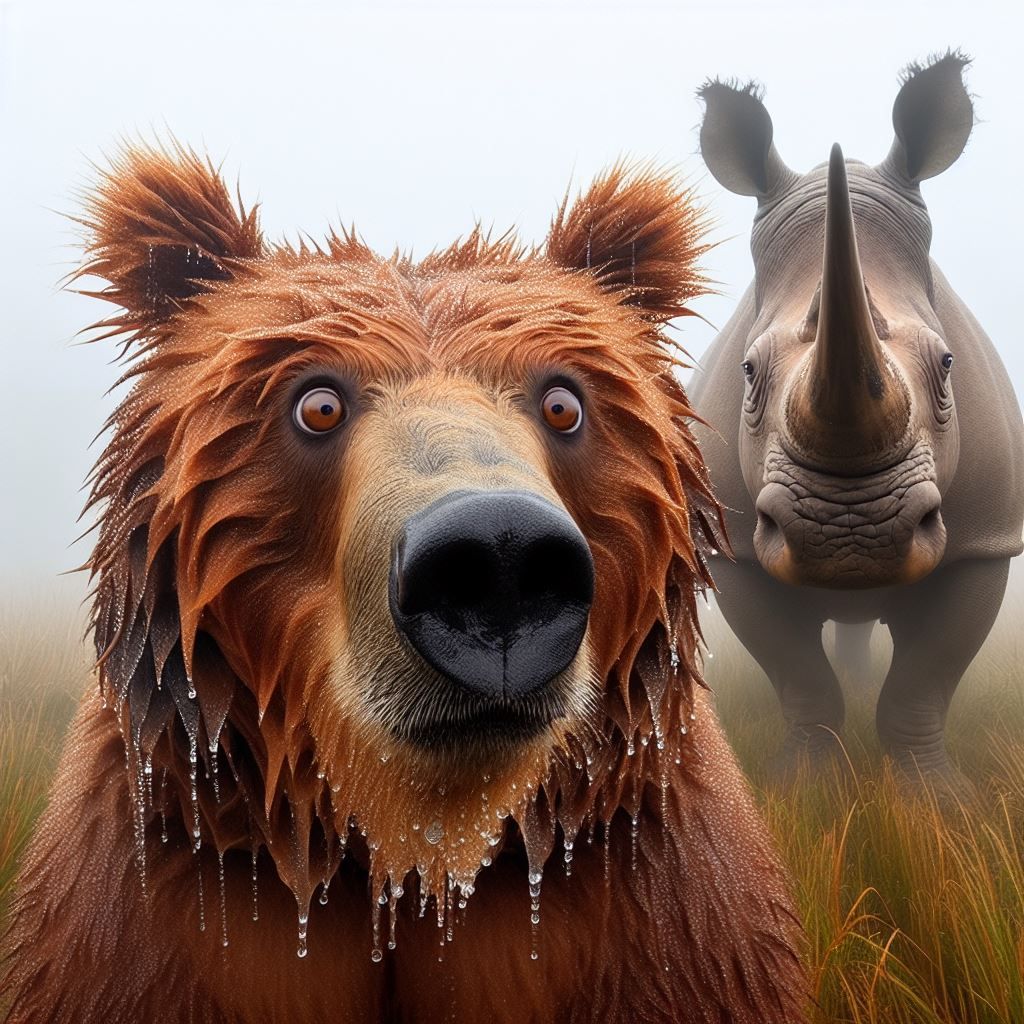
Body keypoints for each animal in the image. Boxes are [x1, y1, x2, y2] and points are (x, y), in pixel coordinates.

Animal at [0, 144, 806, 1023]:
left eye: (564, 401)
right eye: (317, 402)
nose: (497, 557)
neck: (415, 849)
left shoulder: (660, 906)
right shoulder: (163, 894)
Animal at [689, 54, 1024, 786]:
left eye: (949, 365)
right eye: (747, 374)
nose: (851, 536)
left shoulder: (987, 537)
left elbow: (924, 682)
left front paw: (935, 798)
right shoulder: (734, 543)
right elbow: (800, 678)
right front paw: (802, 787)